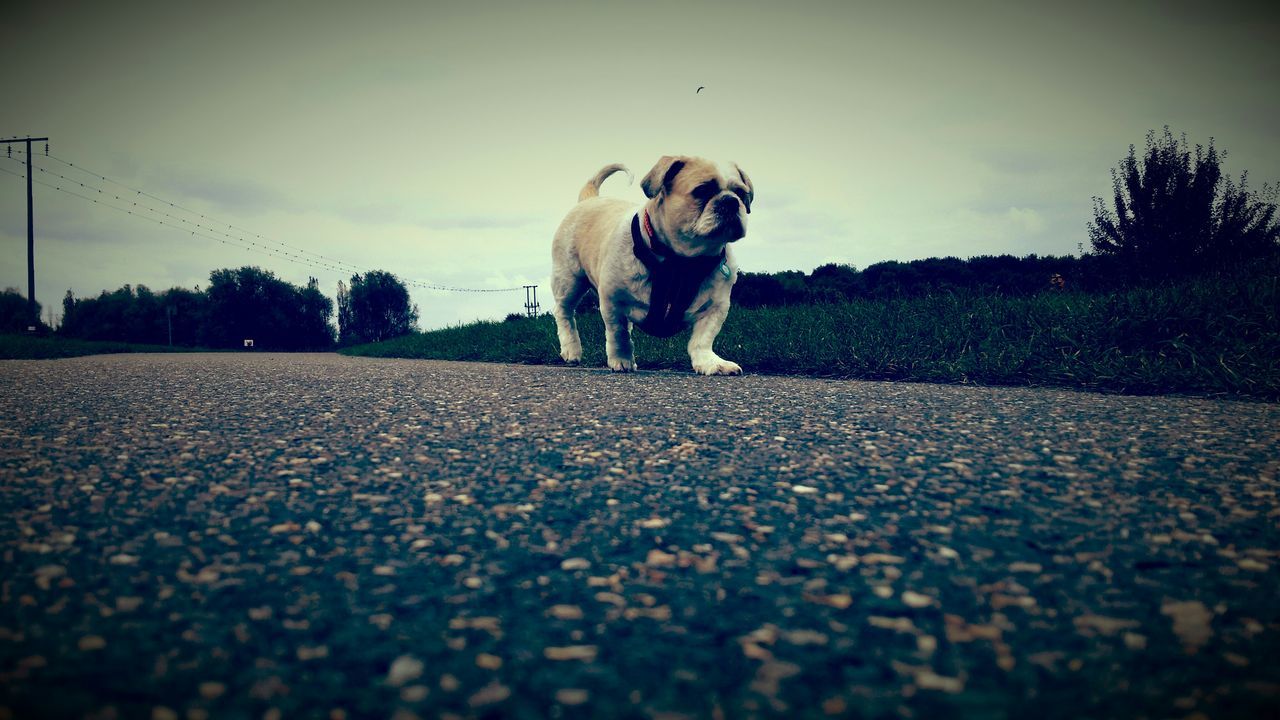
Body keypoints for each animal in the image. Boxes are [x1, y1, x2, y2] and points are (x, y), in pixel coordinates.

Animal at [547, 156, 747, 376]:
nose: (731, 201)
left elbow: (702, 340)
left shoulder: (716, 307)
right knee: (564, 312)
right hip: (569, 280)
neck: (682, 263)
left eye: (742, 193)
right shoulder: (612, 301)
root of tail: (589, 199)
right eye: (702, 190)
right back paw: (571, 349)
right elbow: (618, 334)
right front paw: (621, 360)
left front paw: (709, 362)